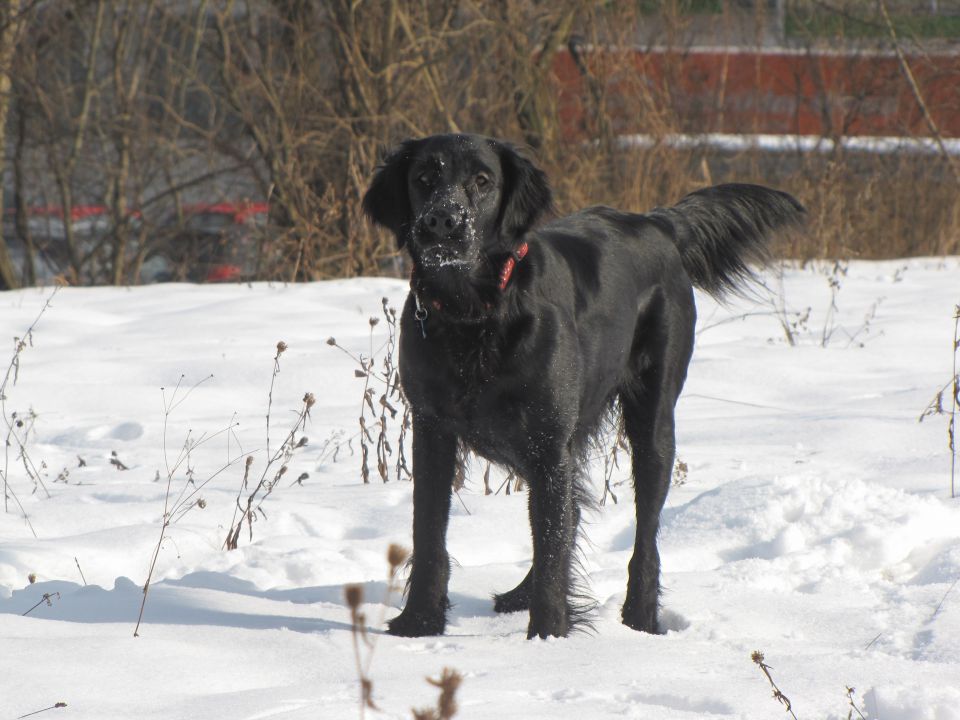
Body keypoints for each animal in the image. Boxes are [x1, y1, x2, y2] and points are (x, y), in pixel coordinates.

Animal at [360, 132, 804, 640]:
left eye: (482, 180)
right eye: (424, 178)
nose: (443, 221)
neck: (474, 317)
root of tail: (656, 223)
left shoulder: (548, 442)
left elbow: (552, 541)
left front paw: (549, 637)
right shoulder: (434, 431)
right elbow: (430, 532)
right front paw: (418, 623)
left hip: (652, 424)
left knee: (643, 536)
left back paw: (640, 618)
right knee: (568, 518)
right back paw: (521, 595)